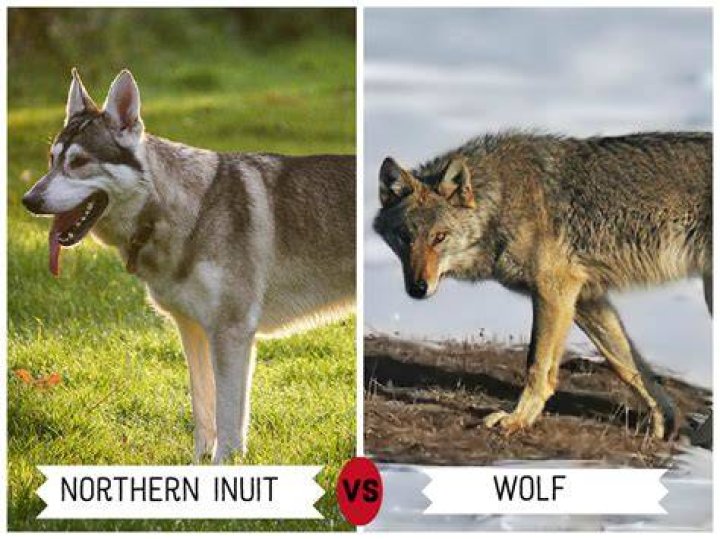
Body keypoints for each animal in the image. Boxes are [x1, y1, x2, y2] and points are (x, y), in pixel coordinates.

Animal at [22, 69, 356, 463]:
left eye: (78, 163)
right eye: (51, 160)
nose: (29, 200)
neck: (186, 212)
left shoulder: (231, 333)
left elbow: (228, 422)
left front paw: (226, 464)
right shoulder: (192, 329)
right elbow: (203, 413)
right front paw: (199, 464)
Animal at [374, 131, 711, 440]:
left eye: (439, 237)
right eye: (405, 237)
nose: (417, 288)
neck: (503, 200)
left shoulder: (554, 291)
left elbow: (537, 365)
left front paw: (517, 419)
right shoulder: (585, 298)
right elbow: (629, 367)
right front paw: (664, 425)